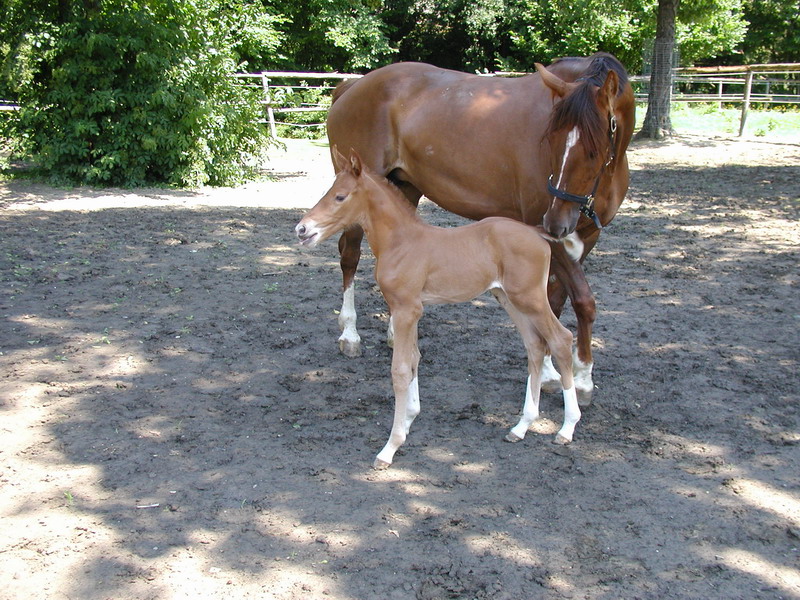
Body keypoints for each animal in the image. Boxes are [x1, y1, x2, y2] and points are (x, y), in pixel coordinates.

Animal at [296, 149, 579, 469]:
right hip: (509, 298)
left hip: (530, 297)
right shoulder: (409, 310)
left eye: (340, 196)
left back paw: (567, 428)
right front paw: (409, 419)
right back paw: (521, 427)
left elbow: (400, 370)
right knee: (535, 345)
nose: (302, 229)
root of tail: (537, 233)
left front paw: (390, 446)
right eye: (328, 191)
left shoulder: (406, 310)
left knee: (561, 339)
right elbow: (414, 359)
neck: (402, 242)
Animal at [325, 52, 635, 406]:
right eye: (553, 141)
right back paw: (350, 334)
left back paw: (393, 333)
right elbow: (581, 301)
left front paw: (567, 373)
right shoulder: (545, 233)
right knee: (349, 256)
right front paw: (568, 376)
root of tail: (352, 87)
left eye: (594, 149)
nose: (556, 221)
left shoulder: (585, 236)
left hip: (404, 188)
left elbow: (557, 301)